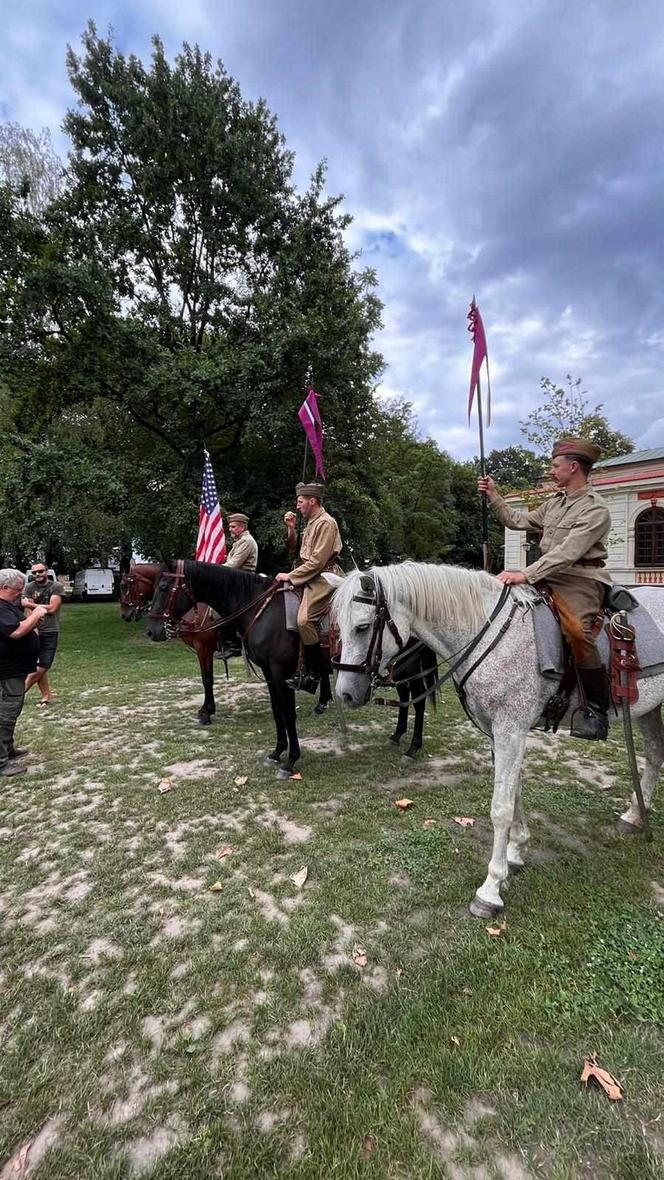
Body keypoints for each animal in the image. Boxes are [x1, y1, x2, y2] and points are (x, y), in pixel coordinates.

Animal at [332, 566, 664, 915]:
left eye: (362, 627)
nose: (345, 693)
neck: (487, 634)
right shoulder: (499, 733)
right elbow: (514, 793)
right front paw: (515, 853)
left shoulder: (510, 730)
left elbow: (500, 807)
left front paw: (490, 889)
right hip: (649, 708)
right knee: (655, 753)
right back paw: (634, 816)